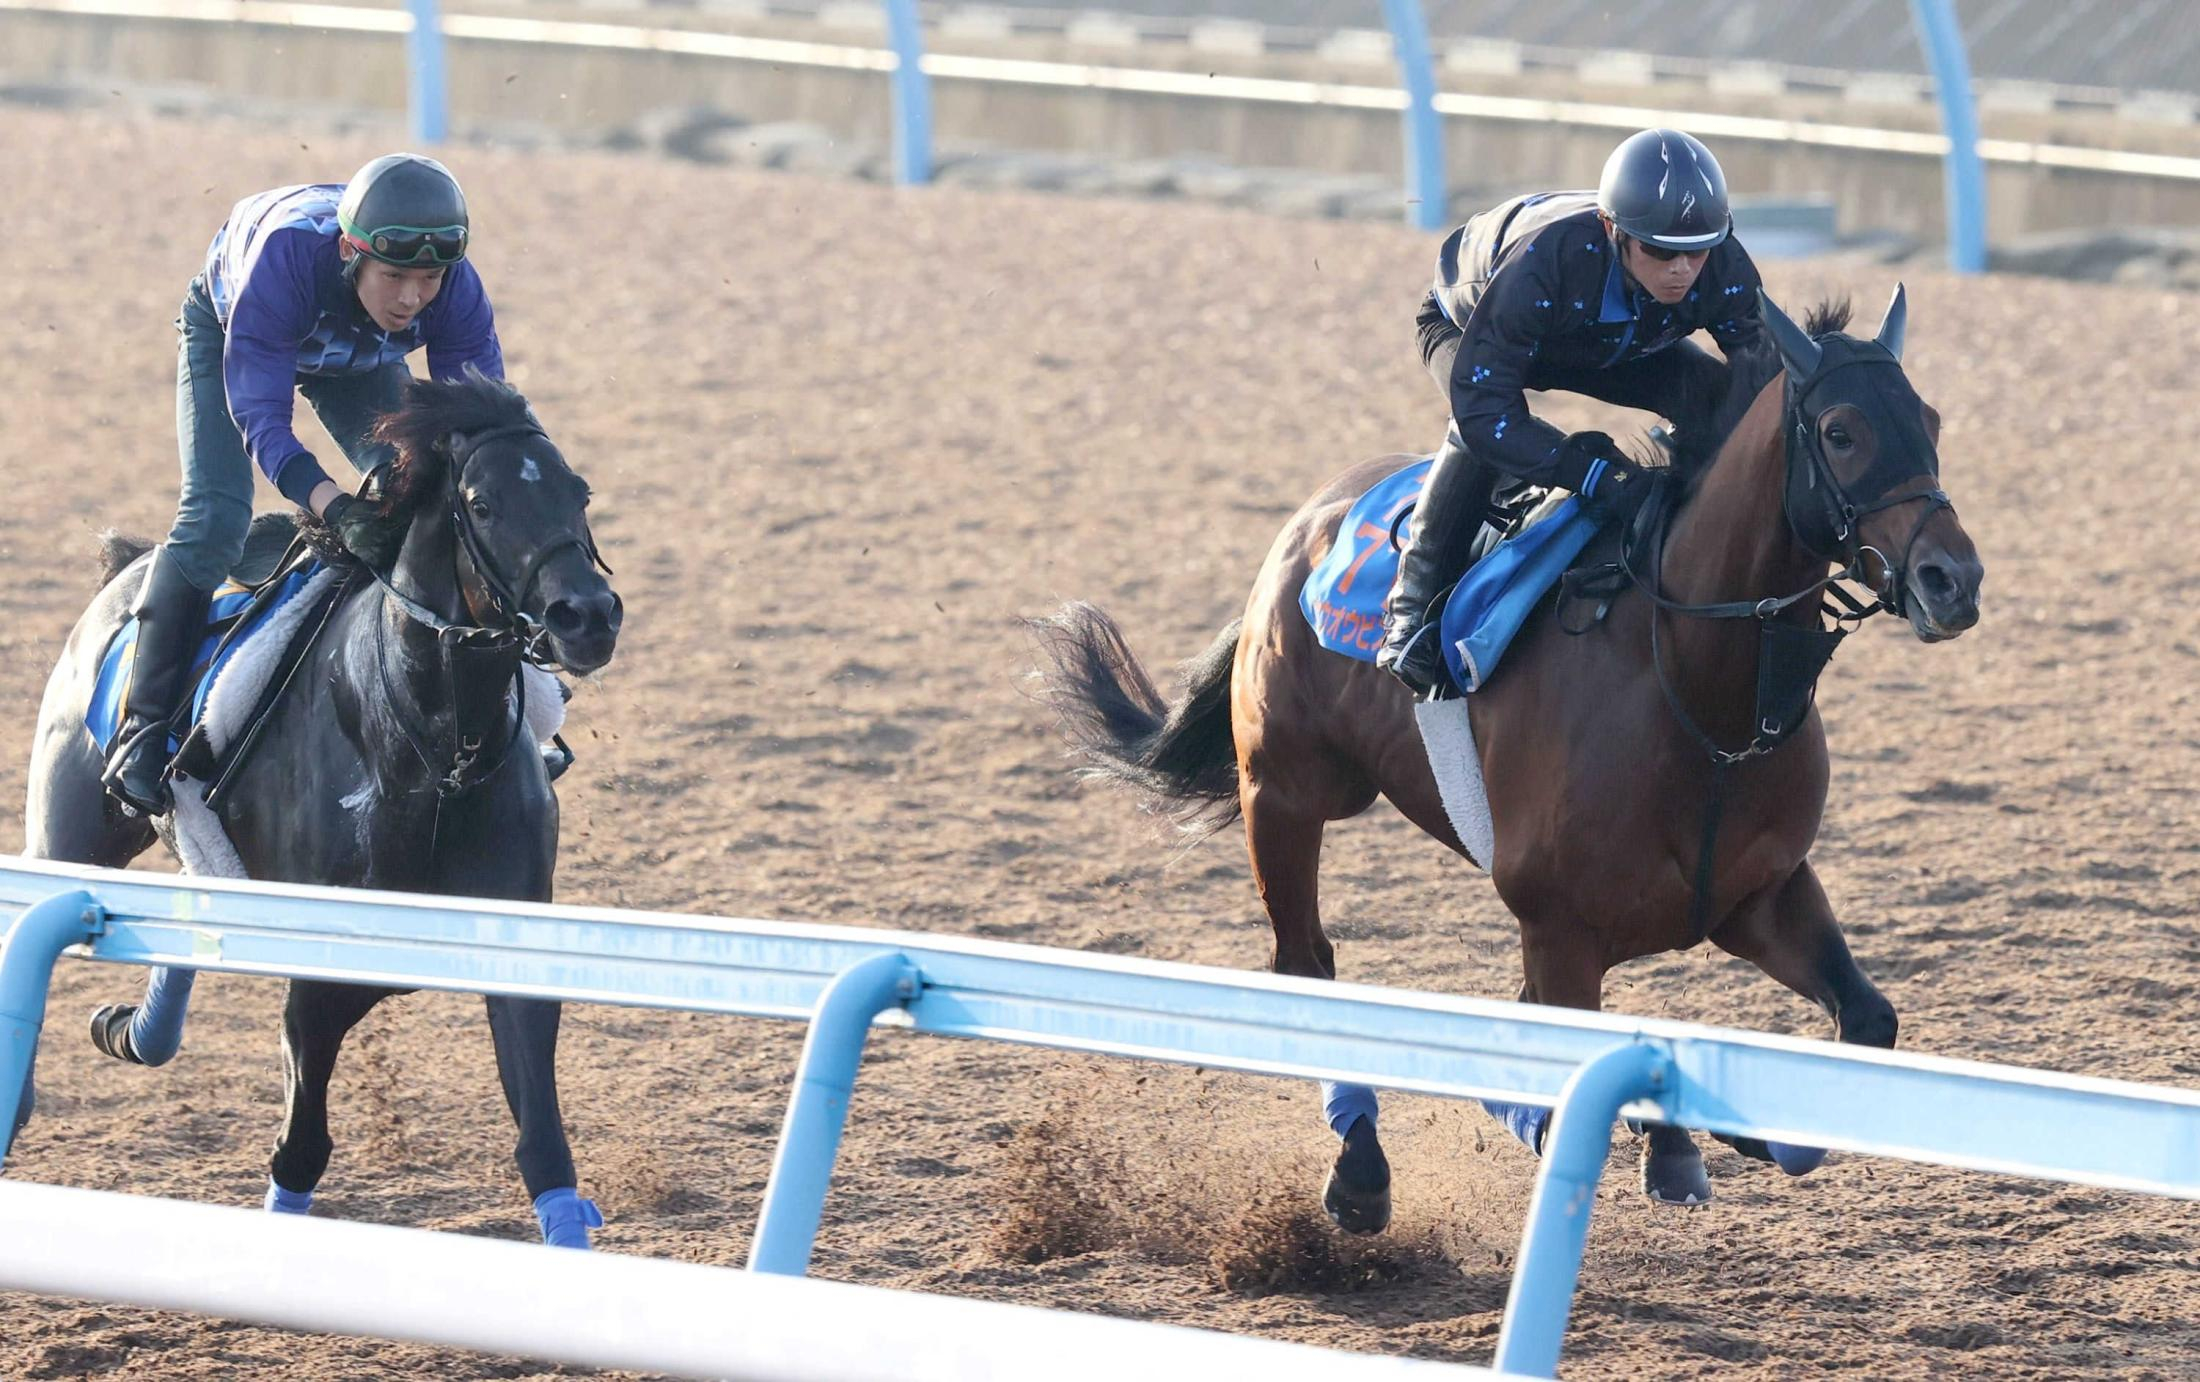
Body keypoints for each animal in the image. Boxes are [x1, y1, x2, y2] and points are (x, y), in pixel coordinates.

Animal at [23, 371, 629, 1249]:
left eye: (577, 492)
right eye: (481, 505)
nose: (587, 615)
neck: (430, 752)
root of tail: (126, 569)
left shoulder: (511, 937)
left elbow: (542, 1141)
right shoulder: (316, 975)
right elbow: (302, 1146)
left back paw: (135, 1027)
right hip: (69, 833)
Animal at [1038, 286, 1988, 1223]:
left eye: (1932, 420)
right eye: (1841, 431)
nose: (1954, 580)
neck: (1693, 693)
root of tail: (1305, 525)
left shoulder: (1761, 895)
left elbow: (1867, 1021)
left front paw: (1723, 1133)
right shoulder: (1560, 930)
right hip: (1286, 792)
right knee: (1306, 962)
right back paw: (1360, 1167)